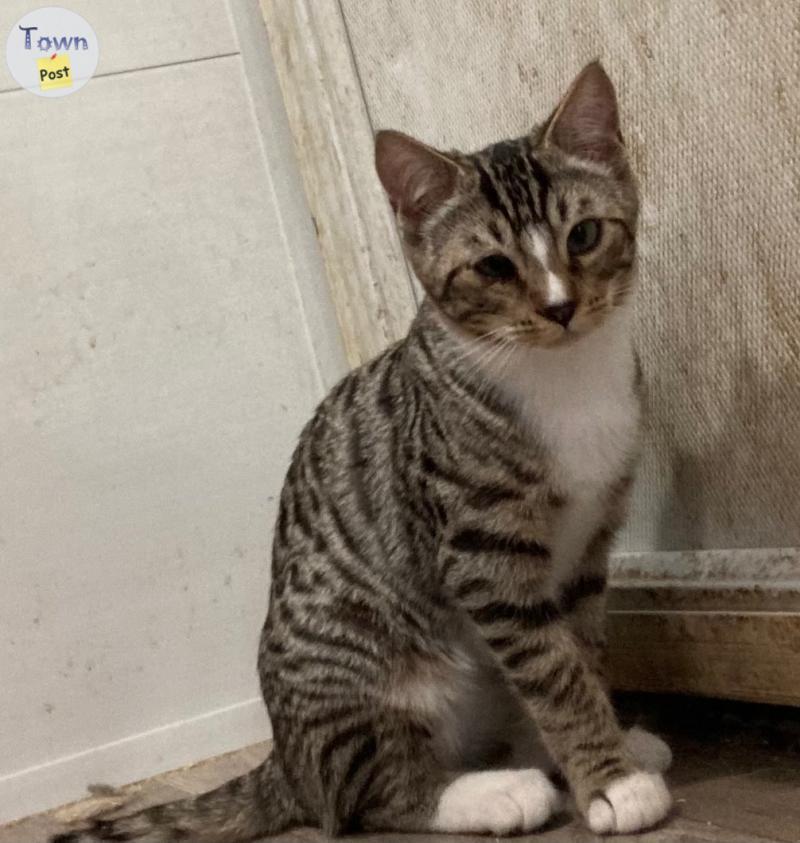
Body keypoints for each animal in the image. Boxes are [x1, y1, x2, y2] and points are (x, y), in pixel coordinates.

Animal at [54, 61, 676, 843]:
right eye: (494, 268)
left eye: (586, 234)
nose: (561, 308)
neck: (564, 378)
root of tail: (284, 760)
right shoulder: (483, 553)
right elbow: (552, 673)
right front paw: (612, 781)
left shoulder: (589, 549)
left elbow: (578, 654)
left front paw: (611, 750)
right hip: (357, 660)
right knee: (362, 792)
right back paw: (494, 792)